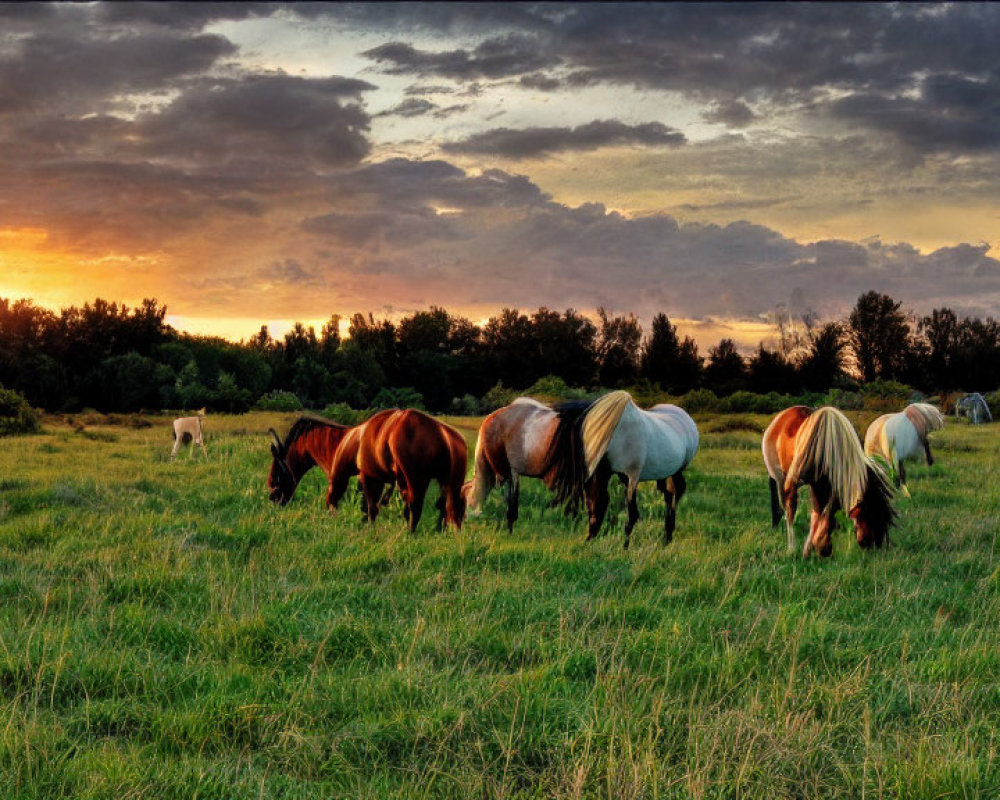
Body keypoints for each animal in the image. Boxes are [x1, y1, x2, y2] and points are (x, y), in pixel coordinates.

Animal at [328, 410, 468, 536]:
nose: (330, 509)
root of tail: (444, 437)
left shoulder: (370, 477)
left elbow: (370, 506)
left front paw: (369, 527)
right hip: (451, 482)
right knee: (449, 506)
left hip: (419, 479)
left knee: (418, 506)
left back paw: (410, 533)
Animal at [464, 398, 588, 532]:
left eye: (465, 499)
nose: (463, 520)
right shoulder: (507, 473)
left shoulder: (513, 470)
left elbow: (512, 500)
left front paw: (510, 527)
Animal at [552, 390, 700, 552]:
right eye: (588, 505)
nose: (588, 539)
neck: (619, 437)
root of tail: (684, 415)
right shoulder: (621, 476)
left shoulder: (632, 478)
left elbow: (632, 515)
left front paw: (625, 547)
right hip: (666, 473)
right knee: (670, 493)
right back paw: (667, 536)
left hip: (678, 469)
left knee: (676, 491)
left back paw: (668, 534)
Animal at [760, 406, 896, 556]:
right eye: (871, 515)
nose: (873, 546)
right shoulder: (794, 483)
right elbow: (793, 513)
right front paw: (794, 549)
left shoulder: (826, 486)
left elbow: (822, 513)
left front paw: (816, 547)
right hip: (779, 478)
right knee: (783, 506)